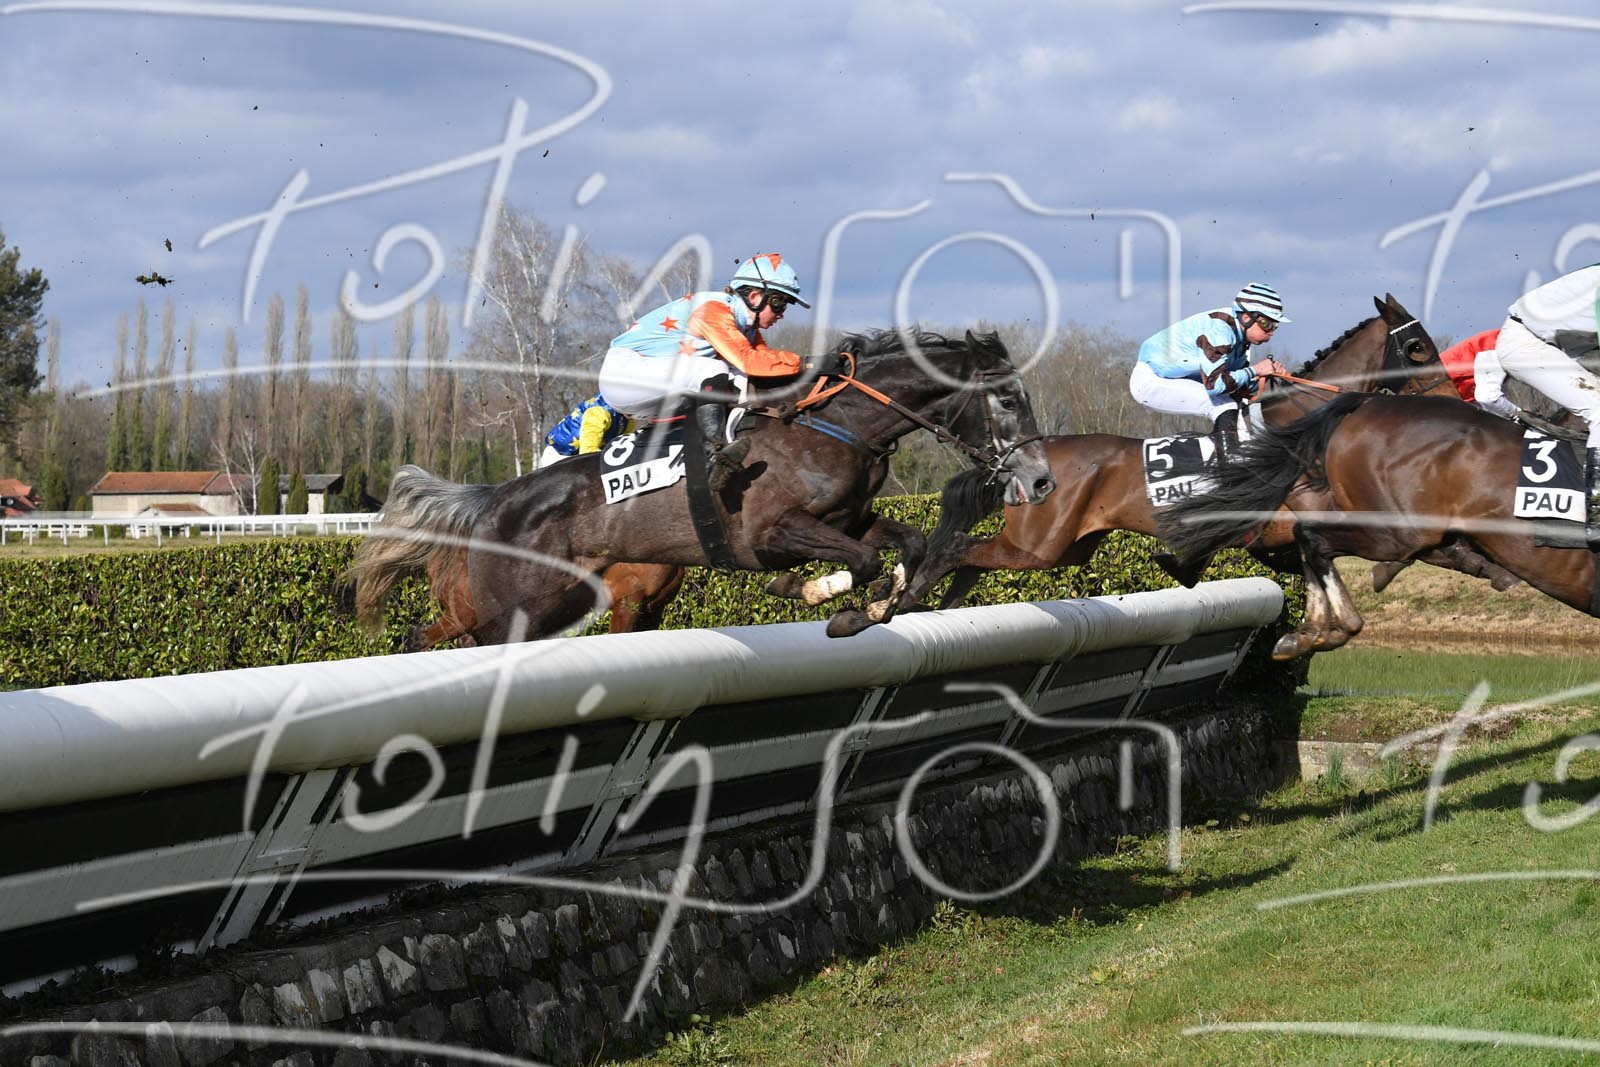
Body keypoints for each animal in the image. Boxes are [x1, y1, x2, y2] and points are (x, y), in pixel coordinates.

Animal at [351, 329, 1057, 644]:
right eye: (1006, 399)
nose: (1041, 478)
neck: (837, 425)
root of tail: (493, 499)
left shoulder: (850, 517)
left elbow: (905, 544)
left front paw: (872, 609)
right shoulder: (772, 531)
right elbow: (859, 562)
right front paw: (818, 594)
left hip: (555, 603)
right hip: (510, 612)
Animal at [896, 294, 1477, 612]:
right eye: (1417, 348)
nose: (1456, 402)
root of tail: (1022, 460)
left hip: (1064, 548)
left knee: (970, 560)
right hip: (1038, 545)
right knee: (956, 550)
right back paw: (901, 600)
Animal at [1156, 391, 1599, 659]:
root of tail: (1366, 402)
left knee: (1310, 541)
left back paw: (1313, 629)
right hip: (1397, 530)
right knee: (1312, 539)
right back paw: (1330, 628)